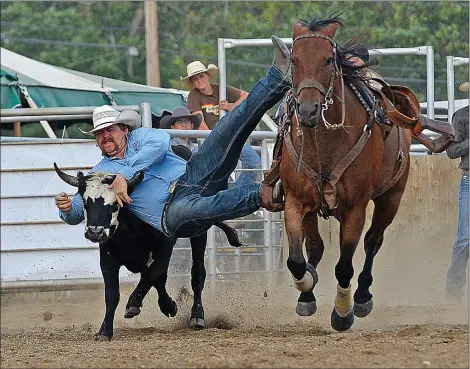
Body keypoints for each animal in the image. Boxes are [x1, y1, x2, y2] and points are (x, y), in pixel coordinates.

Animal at [280, 15, 412, 330]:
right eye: (294, 59)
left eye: (328, 59)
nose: (308, 109)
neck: (326, 146)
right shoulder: (295, 201)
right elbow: (296, 261)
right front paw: (306, 286)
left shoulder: (355, 208)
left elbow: (344, 266)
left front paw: (342, 313)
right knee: (315, 246)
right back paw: (308, 294)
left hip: (391, 197)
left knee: (373, 242)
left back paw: (362, 296)